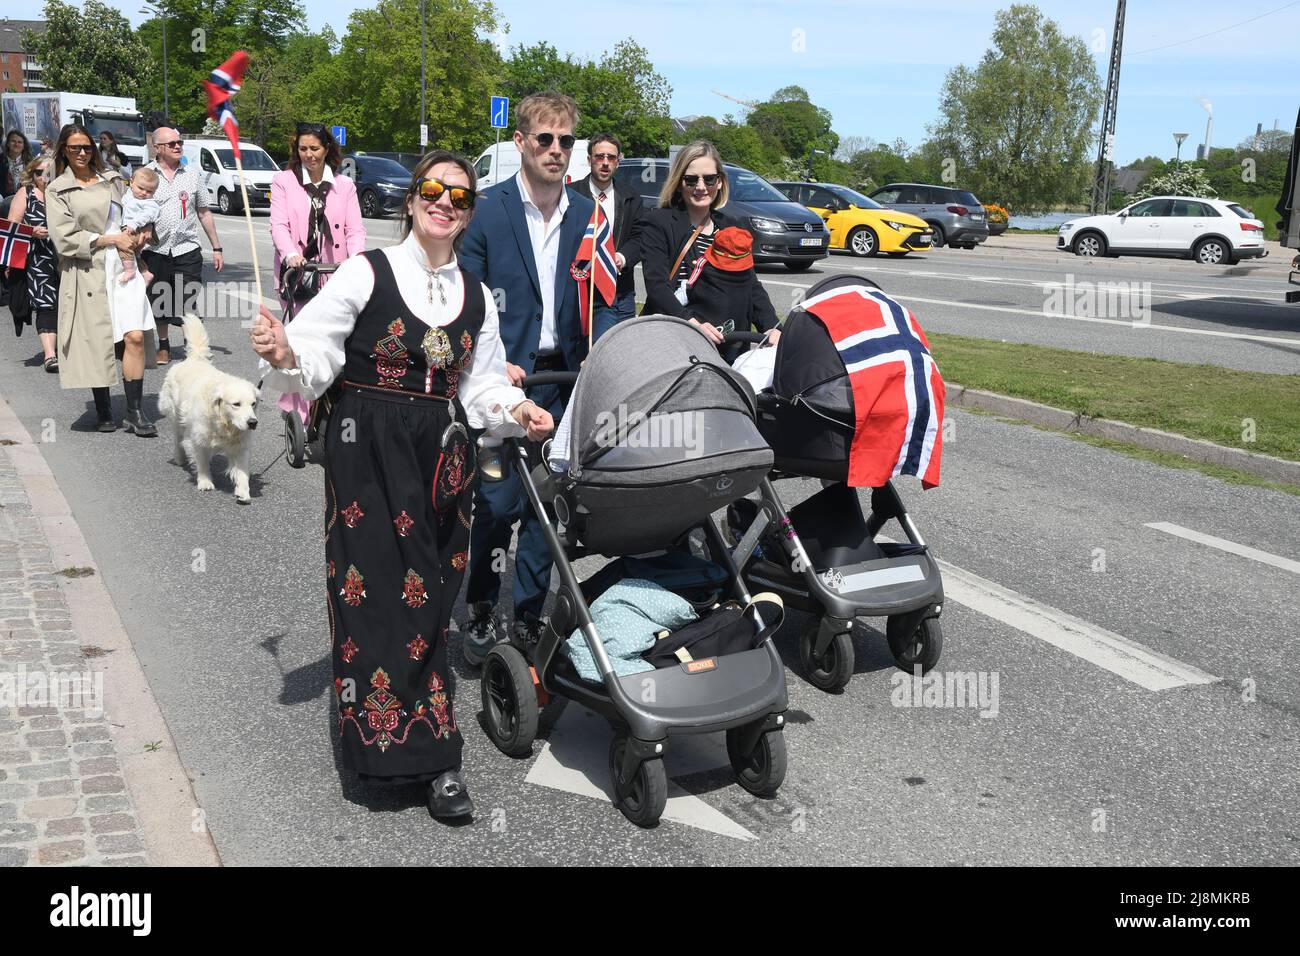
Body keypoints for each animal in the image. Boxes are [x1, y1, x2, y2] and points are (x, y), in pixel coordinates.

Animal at [157, 317, 258, 504]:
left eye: (253, 403)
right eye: (236, 404)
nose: (252, 422)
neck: (223, 422)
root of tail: (195, 359)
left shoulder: (240, 445)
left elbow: (242, 471)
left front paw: (243, 491)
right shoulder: (198, 440)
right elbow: (202, 462)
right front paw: (205, 481)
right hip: (175, 416)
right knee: (178, 438)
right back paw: (179, 457)